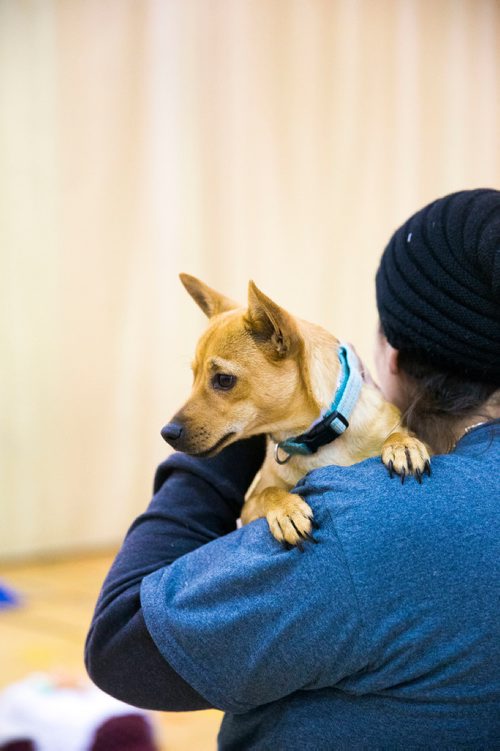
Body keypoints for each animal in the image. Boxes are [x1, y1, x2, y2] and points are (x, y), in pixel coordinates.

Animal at [163, 274, 430, 548]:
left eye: (224, 380)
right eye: (194, 377)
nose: (167, 433)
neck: (316, 440)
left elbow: (400, 433)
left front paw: (403, 445)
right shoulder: (249, 509)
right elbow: (269, 492)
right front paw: (287, 510)